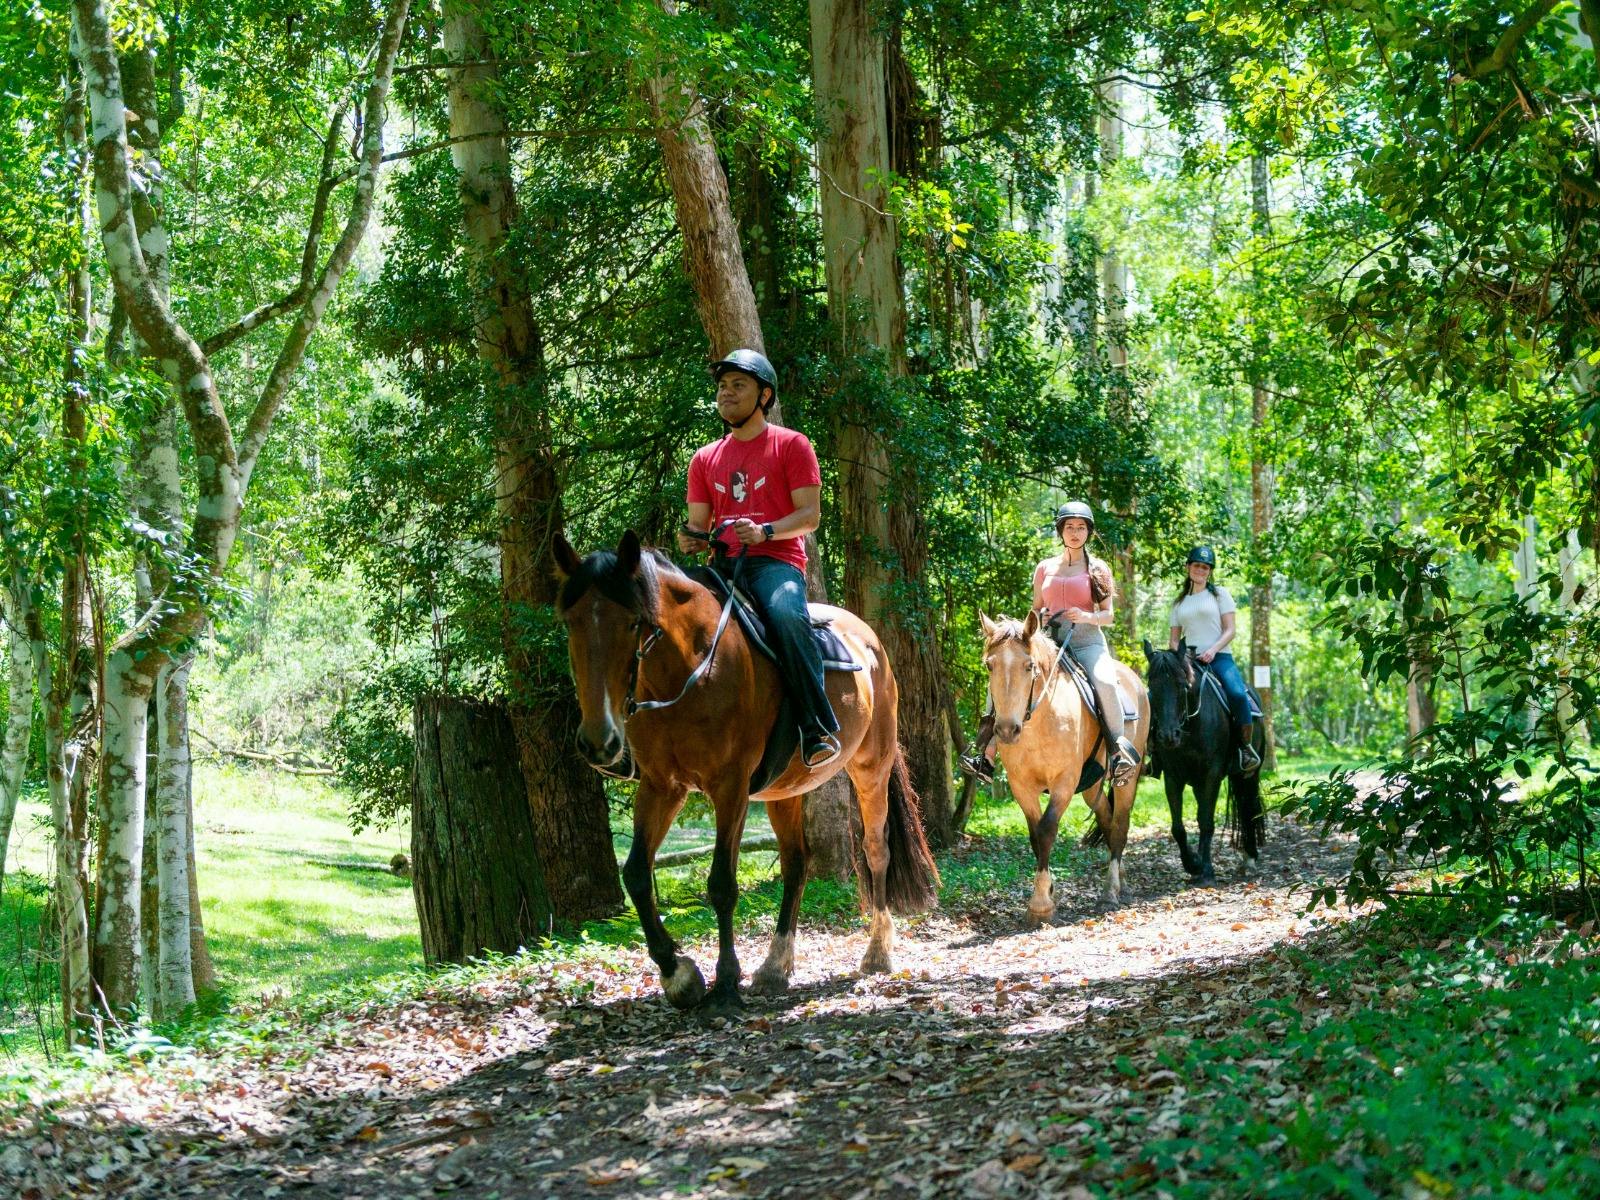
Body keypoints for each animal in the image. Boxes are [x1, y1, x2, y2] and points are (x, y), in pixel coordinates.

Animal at [553, 531, 940, 1016]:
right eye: (571, 622)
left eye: (633, 623)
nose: (598, 742)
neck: (691, 670)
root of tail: (871, 642)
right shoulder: (663, 786)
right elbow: (638, 876)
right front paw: (679, 975)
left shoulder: (730, 787)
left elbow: (721, 884)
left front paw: (723, 983)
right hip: (784, 792)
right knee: (796, 864)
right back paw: (776, 965)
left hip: (871, 767)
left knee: (875, 851)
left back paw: (877, 952)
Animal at [979, 611, 1150, 920]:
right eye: (989, 665)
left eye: (1029, 666)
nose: (1007, 730)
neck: (1040, 721)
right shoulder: (1021, 785)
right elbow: (1035, 835)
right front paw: (1048, 891)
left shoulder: (1064, 782)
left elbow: (1047, 829)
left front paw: (1040, 905)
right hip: (1092, 786)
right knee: (1107, 821)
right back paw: (1122, 882)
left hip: (1127, 779)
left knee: (1120, 825)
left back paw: (1110, 892)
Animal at [1142, 640, 1265, 883]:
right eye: (1152, 686)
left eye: (1182, 686)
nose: (1168, 736)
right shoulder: (1173, 777)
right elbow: (1178, 827)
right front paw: (1193, 864)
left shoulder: (1212, 775)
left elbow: (1206, 822)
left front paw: (1206, 870)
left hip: (1249, 774)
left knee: (1248, 806)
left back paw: (1250, 857)